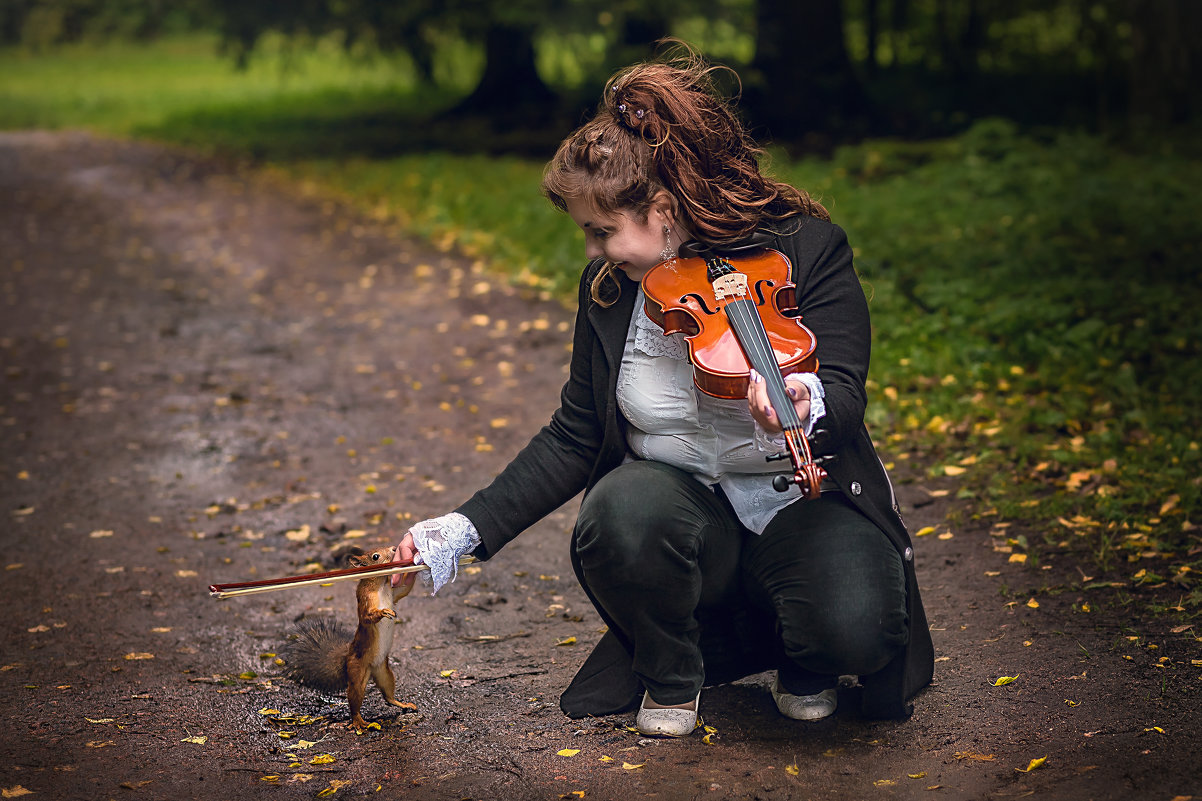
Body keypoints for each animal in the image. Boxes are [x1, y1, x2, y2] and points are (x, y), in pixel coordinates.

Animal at [283, 546, 415, 726]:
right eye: (375, 557)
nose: (394, 548)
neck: (380, 583)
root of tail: (347, 658)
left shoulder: (394, 592)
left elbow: (405, 588)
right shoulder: (365, 599)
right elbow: (367, 616)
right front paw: (382, 612)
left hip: (384, 673)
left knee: (388, 696)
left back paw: (402, 704)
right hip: (357, 673)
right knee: (355, 699)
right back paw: (359, 722)